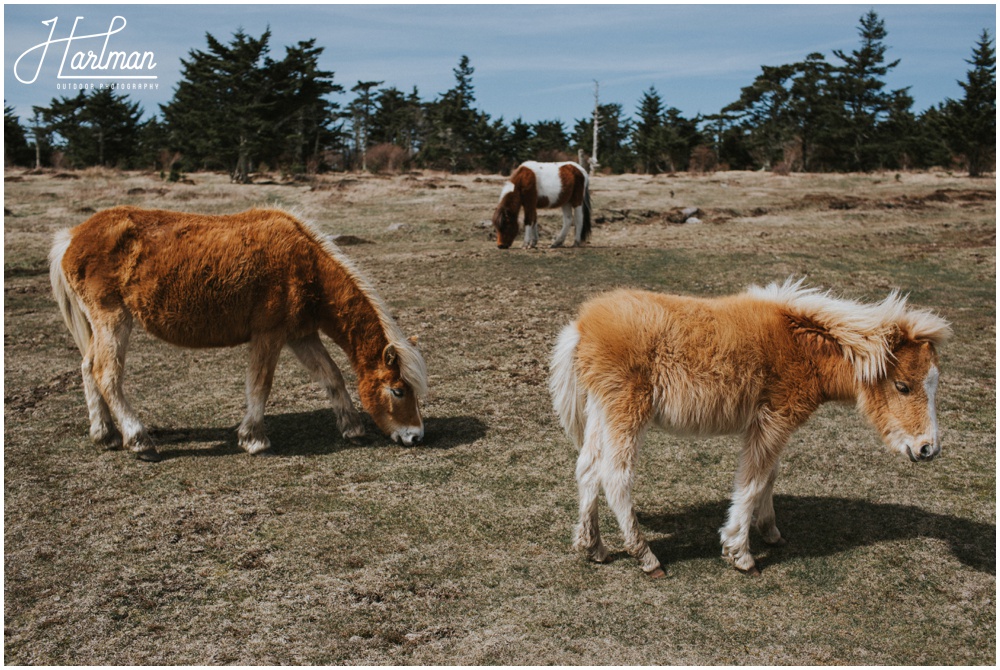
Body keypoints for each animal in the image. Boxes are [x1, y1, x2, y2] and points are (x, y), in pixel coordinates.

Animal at [50, 209, 426, 462]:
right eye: (397, 390)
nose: (416, 436)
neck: (306, 266)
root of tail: (73, 235)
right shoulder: (269, 335)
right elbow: (260, 384)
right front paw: (254, 439)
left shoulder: (301, 335)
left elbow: (331, 377)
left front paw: (351, 428)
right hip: (114, 321)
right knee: (107, 374)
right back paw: (138, 440)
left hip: (101, 326)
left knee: (88, 368)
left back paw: (104, 435)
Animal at [552, 278, 948, 576]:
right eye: (902, 386)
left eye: (934, 383)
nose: (928, 448)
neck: (799, 345)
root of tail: (582, 327)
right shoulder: (773, 422)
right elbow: (753, 480)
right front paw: (740, 553)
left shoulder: (769, 427)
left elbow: (770, 476)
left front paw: (770, 531)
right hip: (627, 412)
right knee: (615, 476)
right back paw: (646, 557)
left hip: (602, 411)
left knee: (587, 468)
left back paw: (593, 547)